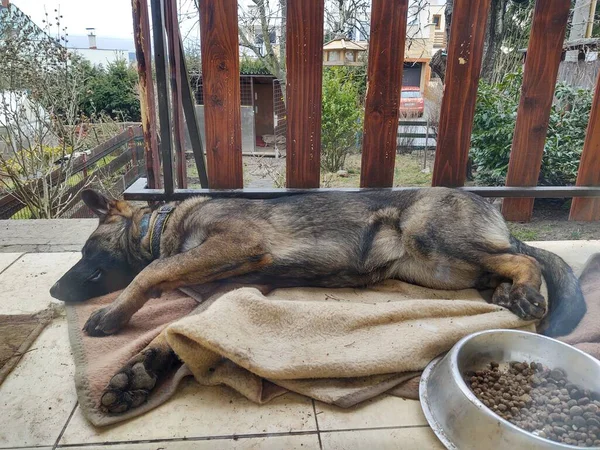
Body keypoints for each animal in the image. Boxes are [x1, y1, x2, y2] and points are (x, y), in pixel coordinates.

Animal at [51, 188, 584, 414]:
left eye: (85, 250)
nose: (54, 292)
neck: (163, 225)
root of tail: (496, 213)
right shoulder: (221, 292)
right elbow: (171, 330)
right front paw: (139, 371)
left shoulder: (235, 244)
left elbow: (151, 272)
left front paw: (113, 314)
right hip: (440, 270)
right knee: (502, 265)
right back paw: (506, 292)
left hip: (433, 238)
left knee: (525, 258)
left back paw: (526, 294)